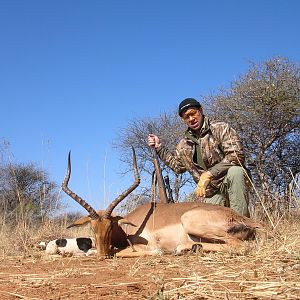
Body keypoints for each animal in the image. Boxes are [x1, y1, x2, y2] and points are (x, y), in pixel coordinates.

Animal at [61, 148, 262, 258]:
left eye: (110, 226)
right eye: (92, 227)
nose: (102, 254)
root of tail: (247, 221)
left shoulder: (144, 246)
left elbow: (125, 251)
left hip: (192, 222)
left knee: (240, 246)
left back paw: (182, 249)